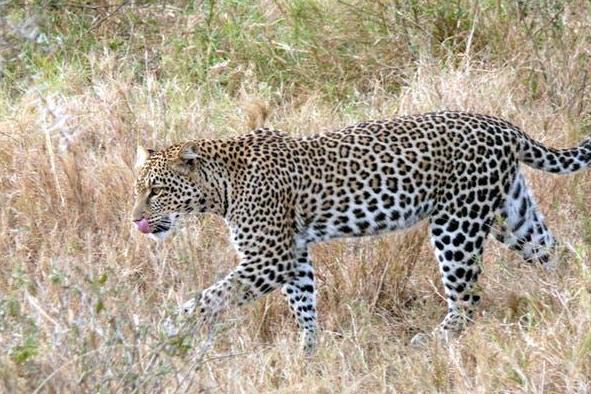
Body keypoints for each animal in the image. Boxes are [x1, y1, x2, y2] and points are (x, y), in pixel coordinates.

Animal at [131, 110, 591, 354]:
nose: (135, 220)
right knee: (556, 252)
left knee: (467, 298)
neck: (221, 187)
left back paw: (431, 342)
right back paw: (570, 303)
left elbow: (211, 297)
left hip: (456, 224)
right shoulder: (293, 255)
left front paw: (167, 329)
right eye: (138, 189)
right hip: (511, 216)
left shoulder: (269, 259)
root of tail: (503, 125)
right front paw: (308, 352)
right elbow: (304, 304)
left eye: (156, 190)